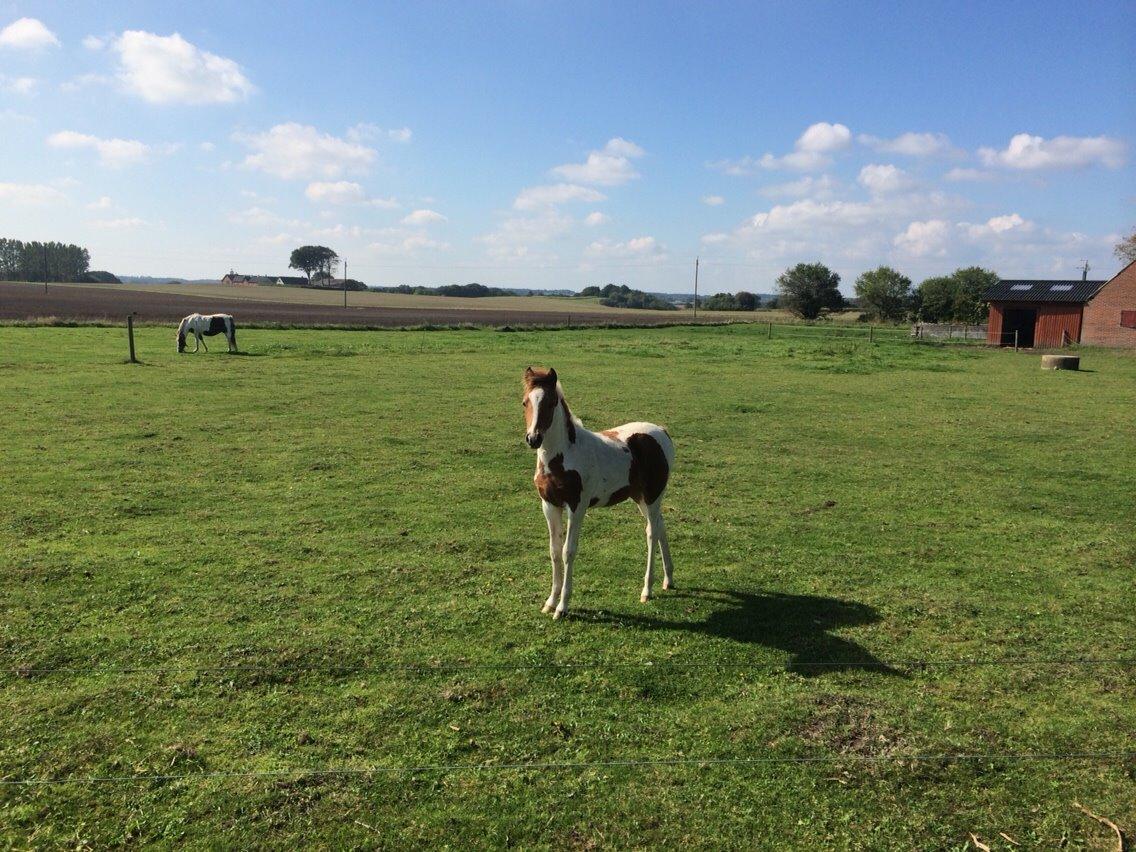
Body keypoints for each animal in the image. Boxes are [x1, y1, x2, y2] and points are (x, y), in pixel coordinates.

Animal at [522, 368, 672, 622]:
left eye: (551, 402)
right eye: (525, 402)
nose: (534, 439)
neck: (563, 456)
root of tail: (662, 432)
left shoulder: (577, 506)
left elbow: (568, 551)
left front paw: (562, 607)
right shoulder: (549, 505)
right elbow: (554, 551)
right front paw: (550, 602)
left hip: (653, 496)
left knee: (651, 533)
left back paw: (647, 590)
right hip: (641, 498)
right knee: (661, 526)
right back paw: (669, 579)